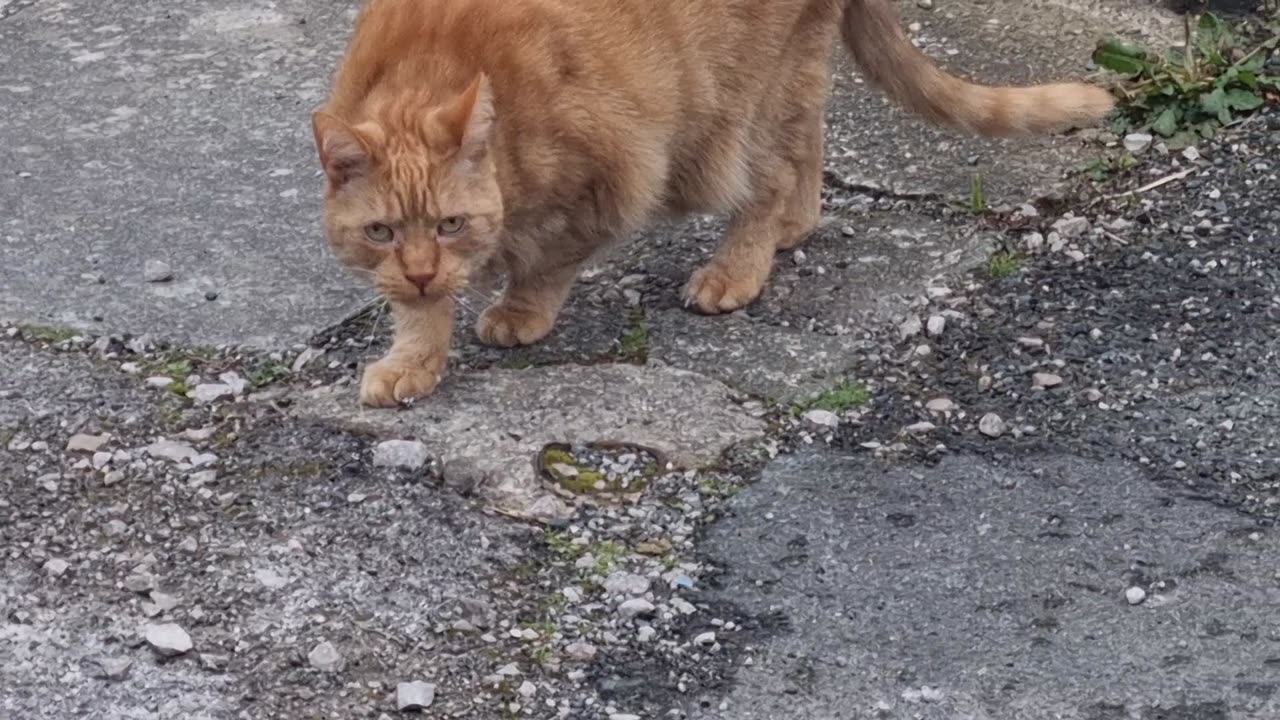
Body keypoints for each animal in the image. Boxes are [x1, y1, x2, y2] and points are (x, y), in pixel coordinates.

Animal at [309, 0, 1111, 407]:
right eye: (381, 233)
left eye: (451, 223)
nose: (419, 269)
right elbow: (418, 312)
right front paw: (413, 357)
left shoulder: (612, 177)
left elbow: (547, 260)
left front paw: (519, 310)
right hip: (778, 80)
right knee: (806, 133)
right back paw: (794, 225)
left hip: (728, 113)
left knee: (771, 173)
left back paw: (741, 267)